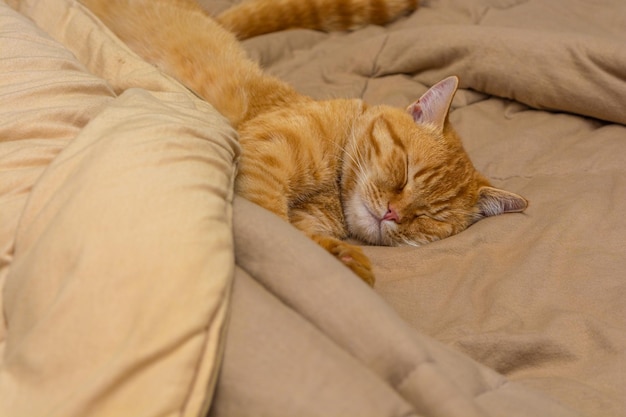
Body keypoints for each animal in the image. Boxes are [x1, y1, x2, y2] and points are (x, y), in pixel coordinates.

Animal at [79, 0, 528, 284]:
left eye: (429, 217)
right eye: (404, 172)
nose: (393, 214)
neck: (331, 191)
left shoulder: (306, 218)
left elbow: (302, 244)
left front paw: (342, 258)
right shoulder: (263, 158)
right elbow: (275, 227)